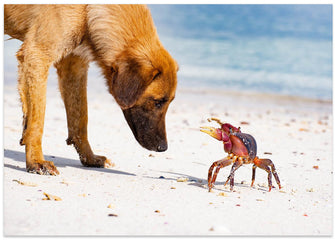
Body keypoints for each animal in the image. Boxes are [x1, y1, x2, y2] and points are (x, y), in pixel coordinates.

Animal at [4, 4, 178, 175]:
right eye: (158, 102)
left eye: (169, 102)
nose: (163, 147)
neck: (87, 11)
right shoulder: (37, 55)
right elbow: (37, 121)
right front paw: (36, 161)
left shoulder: (73, 66)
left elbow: (80, 120)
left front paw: (89, 157)